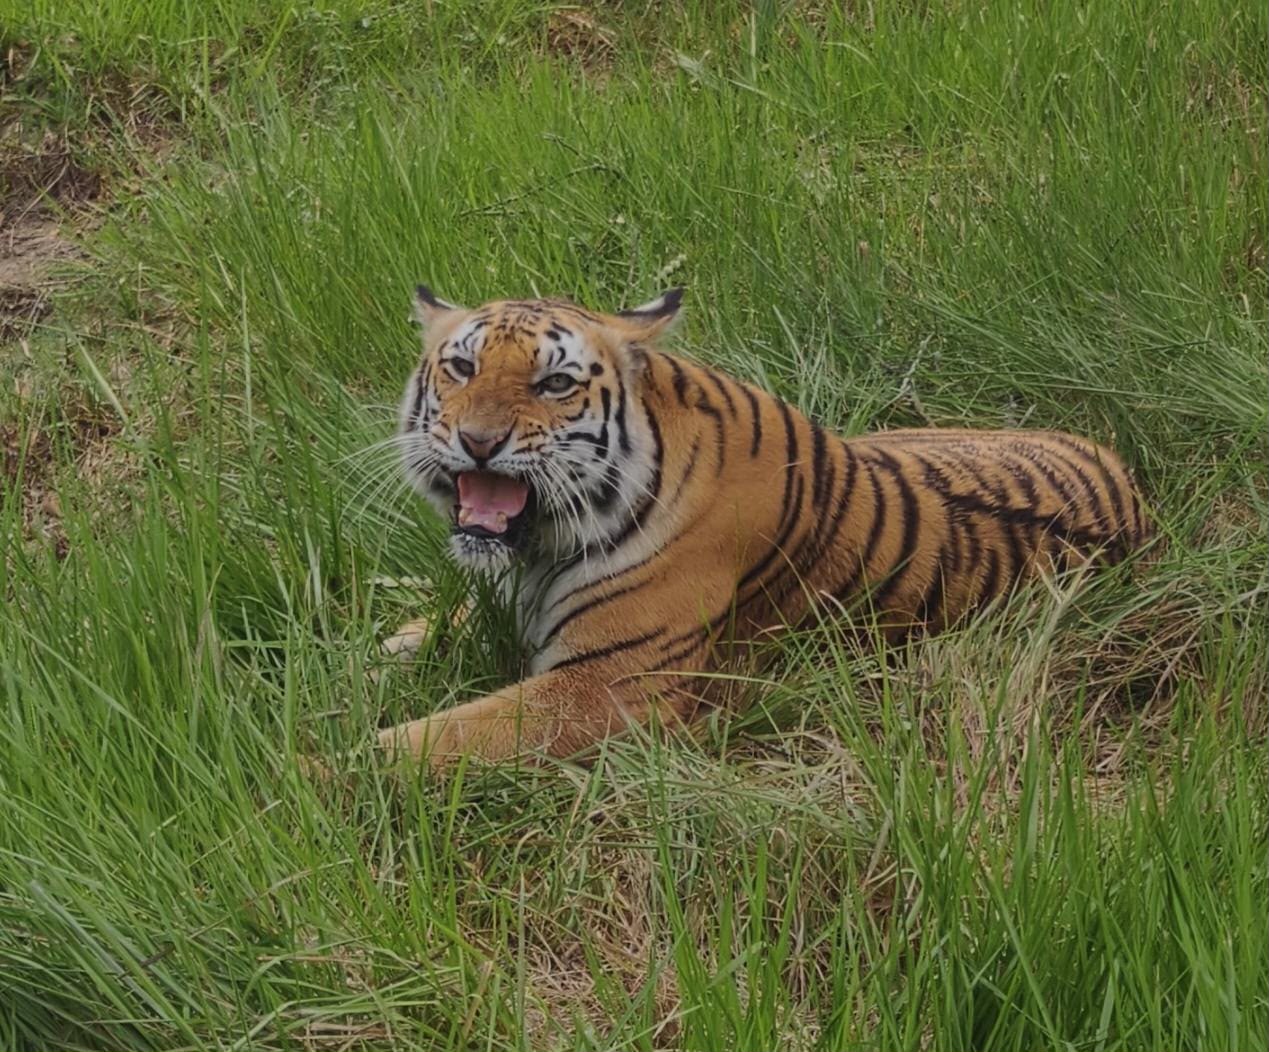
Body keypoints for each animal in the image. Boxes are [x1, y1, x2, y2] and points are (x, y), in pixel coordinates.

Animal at [377, 286, 1152, 769]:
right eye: (462, 368)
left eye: (556, 384)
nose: (478, 442)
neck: (538, 547)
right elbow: (438, 624)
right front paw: (391, 641)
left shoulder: (611, 687)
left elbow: (440, 740)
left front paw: (346, 769)